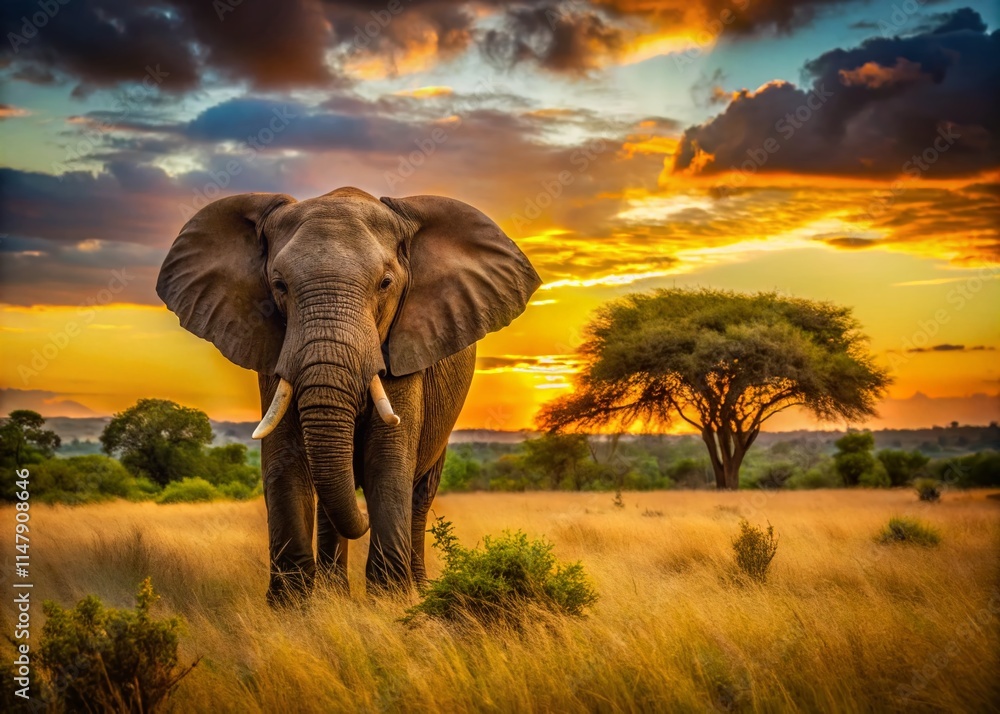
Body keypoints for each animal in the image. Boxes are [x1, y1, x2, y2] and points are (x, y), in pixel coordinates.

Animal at [156, 187, 540, 603]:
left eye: (385, 283)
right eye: (279, 285)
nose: (364, 514)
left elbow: (386, 459)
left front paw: (389, 600)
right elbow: (285, 459)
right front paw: (292, 606)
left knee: (419, 494)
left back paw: (418, 589)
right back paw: (335, 593)